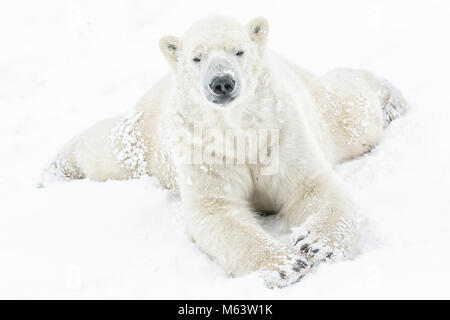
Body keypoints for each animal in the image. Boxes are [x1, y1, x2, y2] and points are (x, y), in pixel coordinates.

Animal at [40, 16, 406, 288]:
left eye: (239, 51)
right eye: (196, 57)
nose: (222, 82)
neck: (239, 129)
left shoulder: (281, 131)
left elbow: (312, 187)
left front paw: (315, 245)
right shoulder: (201, 148)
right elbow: (217, 211)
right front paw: (287, 264)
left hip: (321, 108)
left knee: (354, 114)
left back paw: (391, 99)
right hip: (147, 134)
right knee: (109, 149)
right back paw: (52, 172)